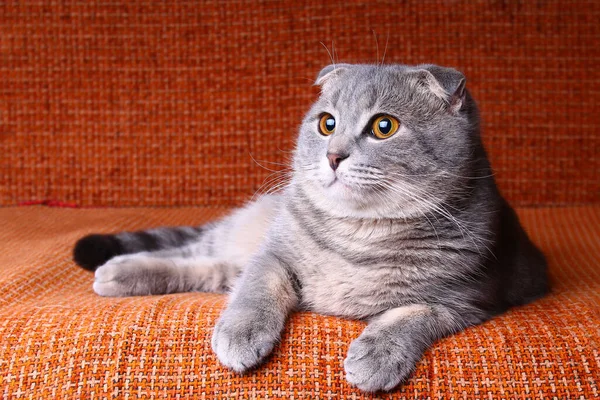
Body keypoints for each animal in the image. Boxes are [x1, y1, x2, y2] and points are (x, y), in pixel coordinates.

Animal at [74, 64, 548, 392]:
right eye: (327, 123)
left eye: (384, 126)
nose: (333, 155)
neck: (360, 234)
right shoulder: (274, 254)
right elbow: (256, 291)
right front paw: (241, 333)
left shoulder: (467, 300)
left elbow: (410, 316)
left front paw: (377, 356)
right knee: (198, 255)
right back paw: (119, 270)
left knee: (211, 268)